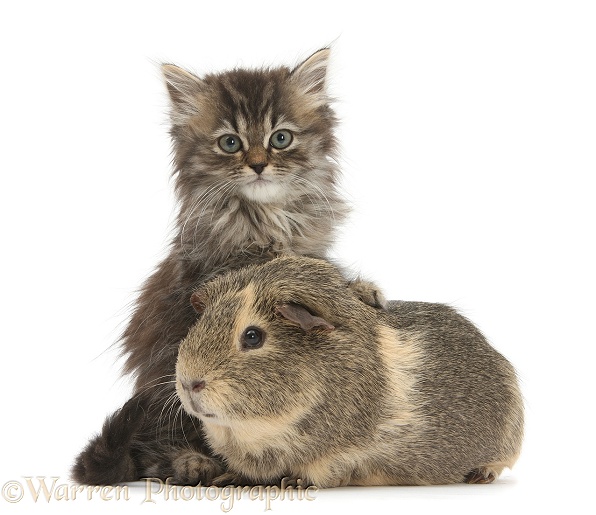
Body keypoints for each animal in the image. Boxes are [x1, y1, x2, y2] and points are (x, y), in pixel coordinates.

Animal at [71, 47, 350, 484]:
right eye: (230, 143)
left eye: (281, 138)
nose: (258, 165)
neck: (264, 219)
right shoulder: (209, 282)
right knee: (160, 446)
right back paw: (194, 463)